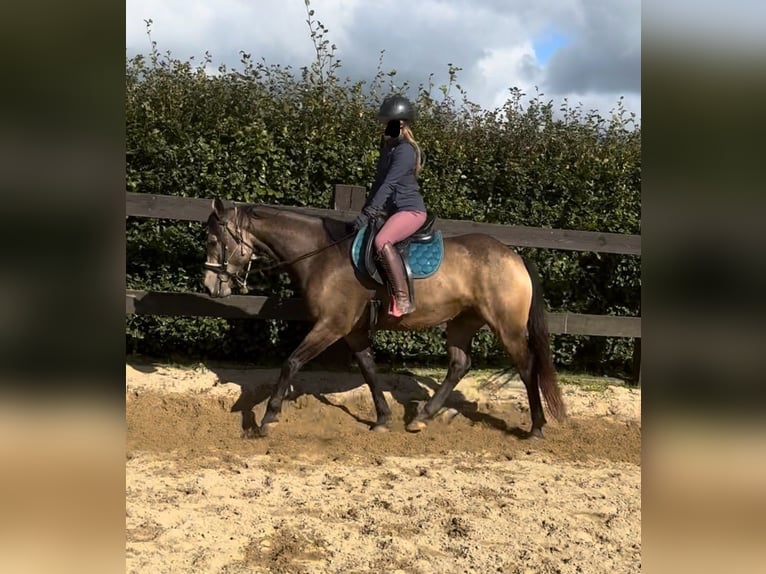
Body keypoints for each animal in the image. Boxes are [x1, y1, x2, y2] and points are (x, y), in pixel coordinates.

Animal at [201, 200, 568, 438]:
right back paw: (423, 416)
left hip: (506, 326)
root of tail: (514, 256)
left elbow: (291, 362)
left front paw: (267, 419)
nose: (208, 286)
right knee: (459, 364)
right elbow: (369, 370)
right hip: (462, 322)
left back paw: (536, 427)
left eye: (213, 240)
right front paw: (382, 418)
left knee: (527, 366)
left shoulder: (331, 325)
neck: (322, 255)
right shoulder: (351, 330)